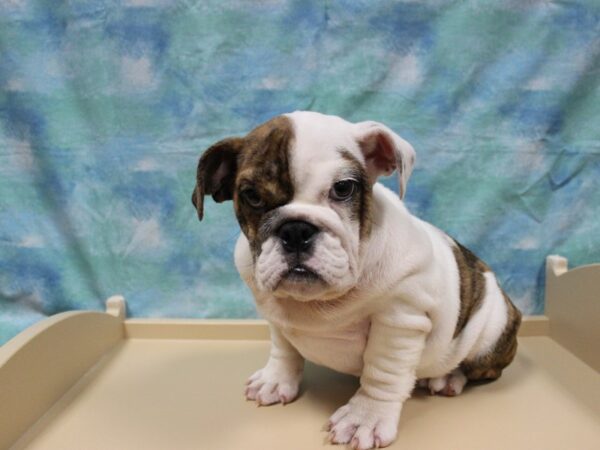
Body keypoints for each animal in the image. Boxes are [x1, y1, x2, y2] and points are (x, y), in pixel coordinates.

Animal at [191, 110, 520, 448]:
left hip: (490, 335)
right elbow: (283, 348)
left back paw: (447, 376)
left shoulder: (400, 320)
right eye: (252, 196)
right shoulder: (277, 316)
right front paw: (276, 379)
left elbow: (382, 373)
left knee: (479, 367)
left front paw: (366, 418)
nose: (296, 229)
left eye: (343, 188)